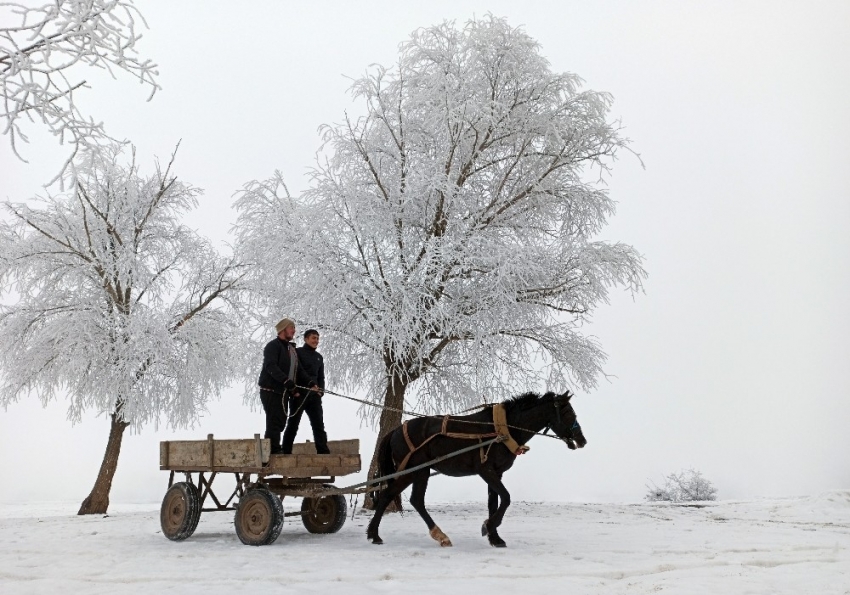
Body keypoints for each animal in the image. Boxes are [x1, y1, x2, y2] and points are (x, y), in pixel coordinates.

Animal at [364, 392, 584, 548]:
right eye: (567, 413)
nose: (582, 440)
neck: (502, 429)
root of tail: (395, 431)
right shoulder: (486, 471)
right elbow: (506, 498)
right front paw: (488, 527)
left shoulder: (497, 472)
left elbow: (494, 503)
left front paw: (495, 538)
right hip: (413, 470)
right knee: (397, 497)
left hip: (419, 471)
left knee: (402, 498)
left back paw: (379, 534)